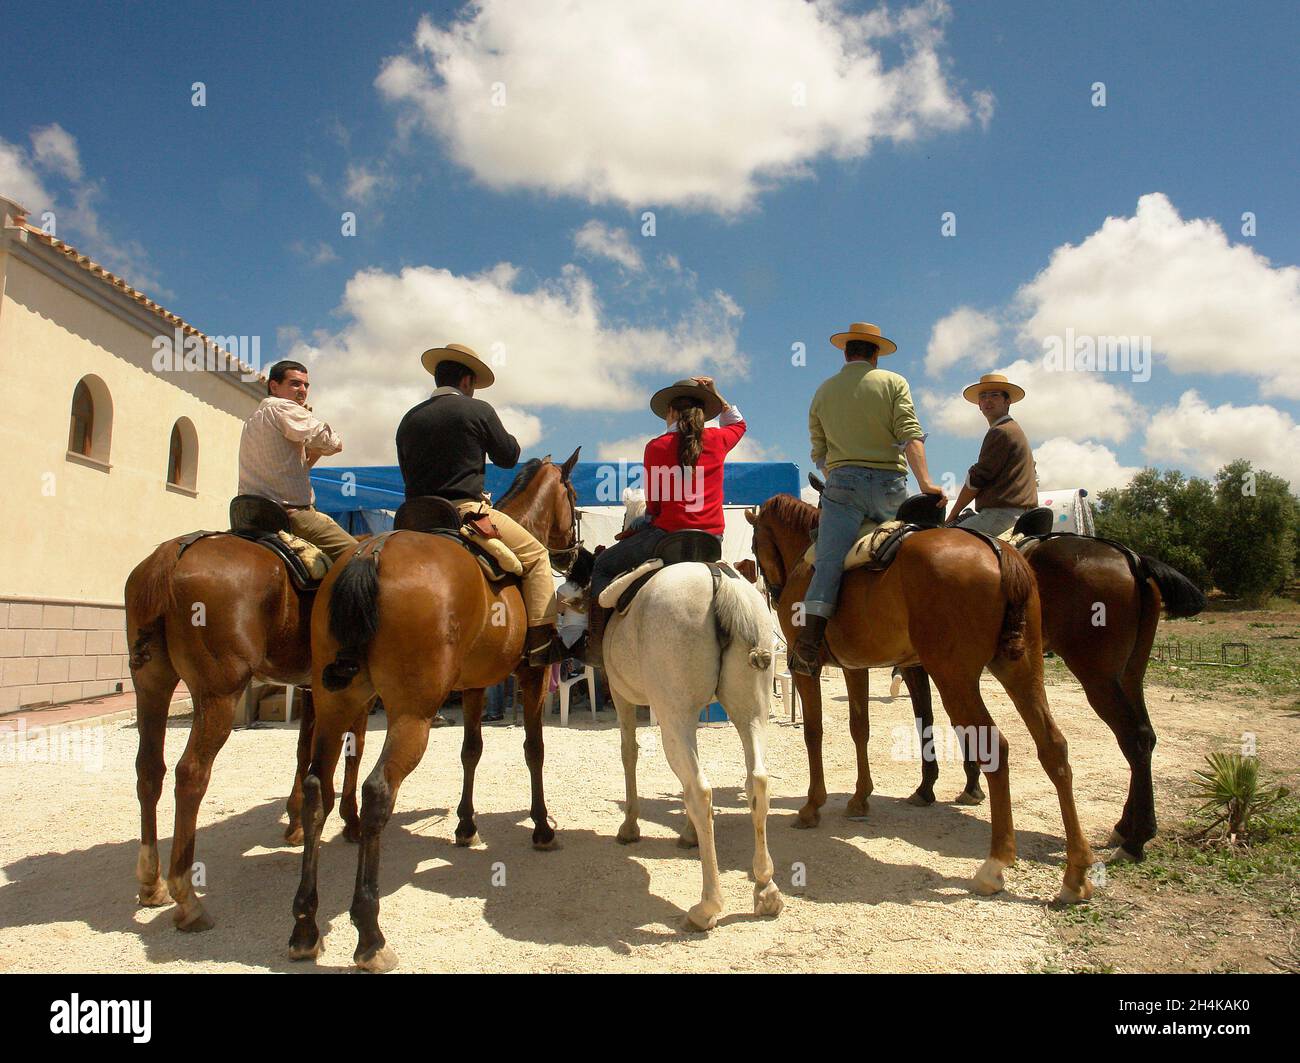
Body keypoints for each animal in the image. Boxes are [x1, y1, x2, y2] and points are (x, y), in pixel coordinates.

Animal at [295, 447, 585, 966]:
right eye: (572, 499)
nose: (573, 553)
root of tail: (370, 553)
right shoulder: (530, 677)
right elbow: (534, 750)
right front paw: (541, 827)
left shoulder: (474, 686)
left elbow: (471, 751)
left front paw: (466, 826)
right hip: (411, 714)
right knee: (376, 792)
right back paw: (369, 934)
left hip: (334, 705)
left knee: (315, 790)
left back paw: (305, 924)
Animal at [598, 535, 780, 925]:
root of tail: (718, 579)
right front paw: (689, 833)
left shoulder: (621, 695)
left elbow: (629, 754)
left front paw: (630, 826)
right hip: (752, 713)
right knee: (757, 782)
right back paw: (766, 889)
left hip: (673, 717)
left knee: (699, 791)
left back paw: (707, 906)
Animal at [743, 496, 1097, 904]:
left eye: (755, 545)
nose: (773, 590)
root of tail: (998, 551)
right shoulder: (855, 668)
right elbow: (859, 728)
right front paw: (860, 798)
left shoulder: (805, 670)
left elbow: (813, 732)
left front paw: (812, 806)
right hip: (1022, 671)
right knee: (1053, 747)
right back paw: (1076, 872)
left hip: (955, 679)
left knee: (997, 749)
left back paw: (995, 864)